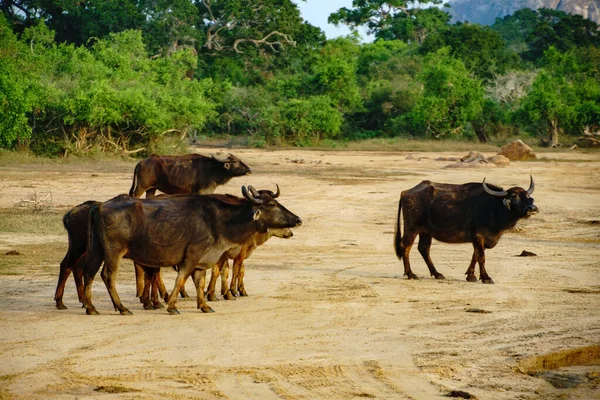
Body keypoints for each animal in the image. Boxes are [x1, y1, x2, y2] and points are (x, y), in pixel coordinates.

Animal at [82, 186, 302, 314]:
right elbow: (181, 279)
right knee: (107, 276)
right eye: (272, 204)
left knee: (90, 273)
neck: (219, 221)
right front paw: (172, 305)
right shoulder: (191, 258)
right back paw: (121, 307)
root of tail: (100, 206)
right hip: (113, 253)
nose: (298, 219)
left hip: (97, 251)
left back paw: (91, 307)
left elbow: (200, 282)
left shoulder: (203, 261)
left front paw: (204, 305)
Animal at [394, 176, 540, 284]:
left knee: (424, 249)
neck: (493, 207)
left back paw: (437, 274)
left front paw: (471, 276)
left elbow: (474, 255)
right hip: (412, 227)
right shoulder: (478, 236)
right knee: (405, 246)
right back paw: (411, 274)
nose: (532, 208)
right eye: (514, 196)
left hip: (426, 232)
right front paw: (486, 278)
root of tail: (405, 192)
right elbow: (481, 257)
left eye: (528, 196)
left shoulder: (481, 239)